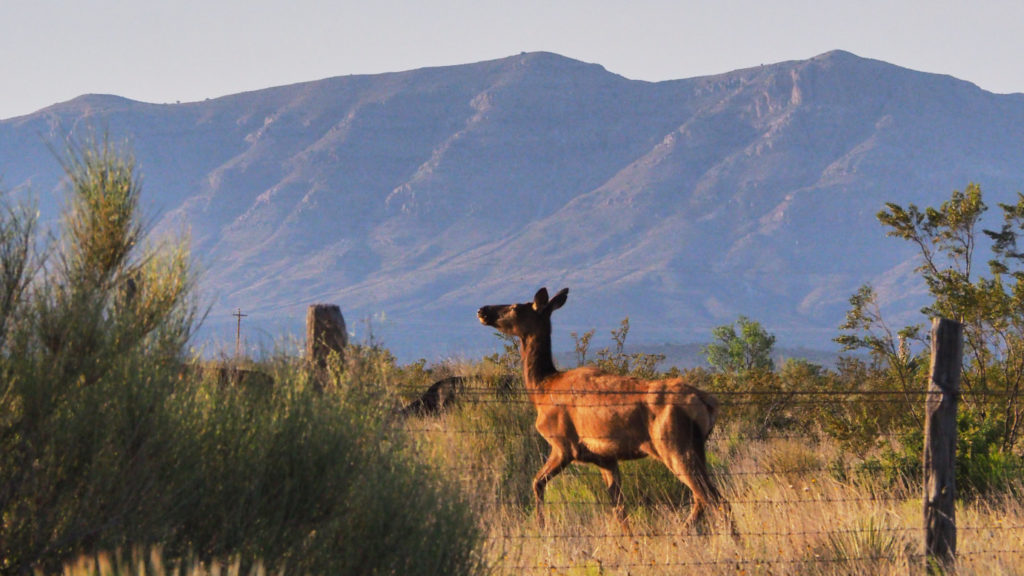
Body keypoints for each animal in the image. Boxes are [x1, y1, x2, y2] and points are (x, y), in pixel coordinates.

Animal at [475, 286, 724, 528]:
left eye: (516, 307)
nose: (482, 310)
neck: (543, 389)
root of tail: (707, 403)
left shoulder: (564, 445)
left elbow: (537, 482)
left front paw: (541, 526)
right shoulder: (606, 458)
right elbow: (619, 508)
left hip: (674, 445)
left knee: (713, 499)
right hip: (696, 448)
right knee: (703, 499)